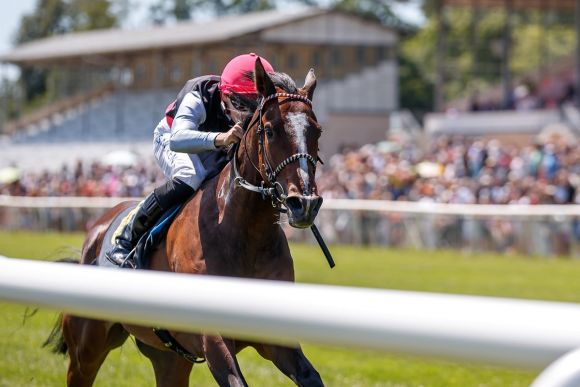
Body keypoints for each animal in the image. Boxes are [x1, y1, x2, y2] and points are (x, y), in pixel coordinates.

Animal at [44, 58, 324, 387]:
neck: (242, 233)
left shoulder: (276, 338)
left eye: (317, 131)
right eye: (269, 130)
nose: (304, 203)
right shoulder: (212, 338)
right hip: (86, 349)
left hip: (169, 358)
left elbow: (310, 376)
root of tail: (94, 234)